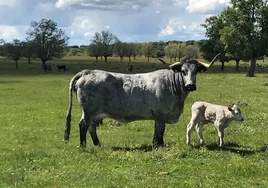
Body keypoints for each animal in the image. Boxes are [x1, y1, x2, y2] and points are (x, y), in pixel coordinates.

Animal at [64, 53, 220, 148]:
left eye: (196, 71)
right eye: (183, 71)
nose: (190, 86)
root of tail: (87, 72)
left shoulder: (158, 117)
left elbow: (156, 132)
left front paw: (155, 145)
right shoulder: (161, 116)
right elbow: (160, 132)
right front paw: (159, 146)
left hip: (95, 113)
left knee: (91, 127)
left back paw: (97, 144)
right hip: (88, 111)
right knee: (83, 125)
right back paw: (83, 146)